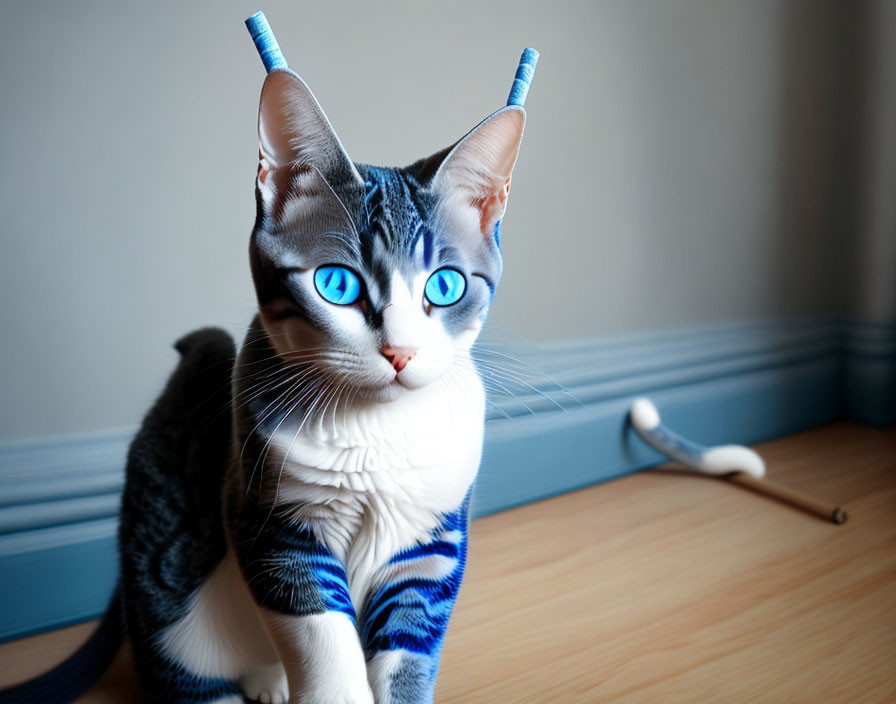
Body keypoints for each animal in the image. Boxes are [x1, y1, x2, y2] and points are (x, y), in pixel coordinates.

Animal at [0, 62, 528, 704]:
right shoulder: (272, 521)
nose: (399, 353)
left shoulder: (430, 542)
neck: (373, 427)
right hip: (170, 577)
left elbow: (409, 650)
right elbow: (322, 642)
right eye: (337, 284)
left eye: (446, 286)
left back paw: (269, 680)